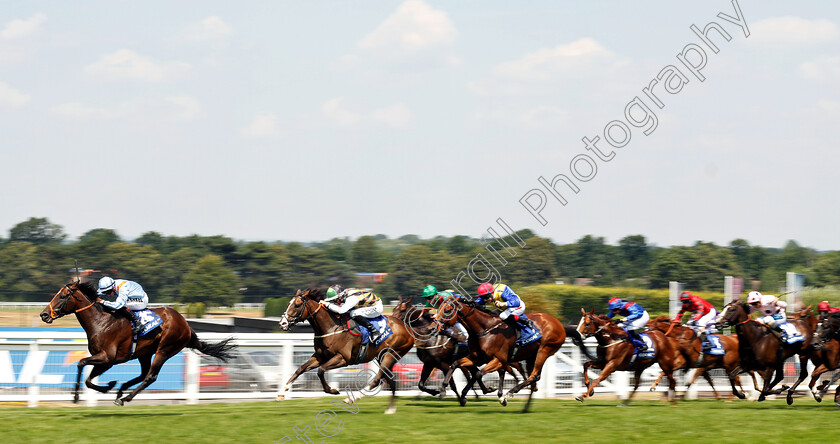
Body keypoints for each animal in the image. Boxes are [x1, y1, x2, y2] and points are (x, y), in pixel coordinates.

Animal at [39, 282, 236, 404]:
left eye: (62, 296)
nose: (44, 314)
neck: (100, 322)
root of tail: (186, 325)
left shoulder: (107, 357)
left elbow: (81, 364)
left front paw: (80, 395)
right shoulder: (106, 360)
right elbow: (87, 378)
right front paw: (107, 387)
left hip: (165, 349)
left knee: (150, 376)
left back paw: (124, 398)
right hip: (145, 352)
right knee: (143, 374)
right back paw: (121, 390)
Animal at [278, 288, 416, 412]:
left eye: (297, 305)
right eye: (288, 304)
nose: (282, 323)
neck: (331, 327)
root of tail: (406, 327)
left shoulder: (343, 358)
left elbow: (321, 370)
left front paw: (332, 390)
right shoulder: (320, 356)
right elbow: (301, 368)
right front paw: (282, 391)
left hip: (391, 354)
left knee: (377, 378)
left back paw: (353, 398)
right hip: (381, 356)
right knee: (389, 379)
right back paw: (390, 409)